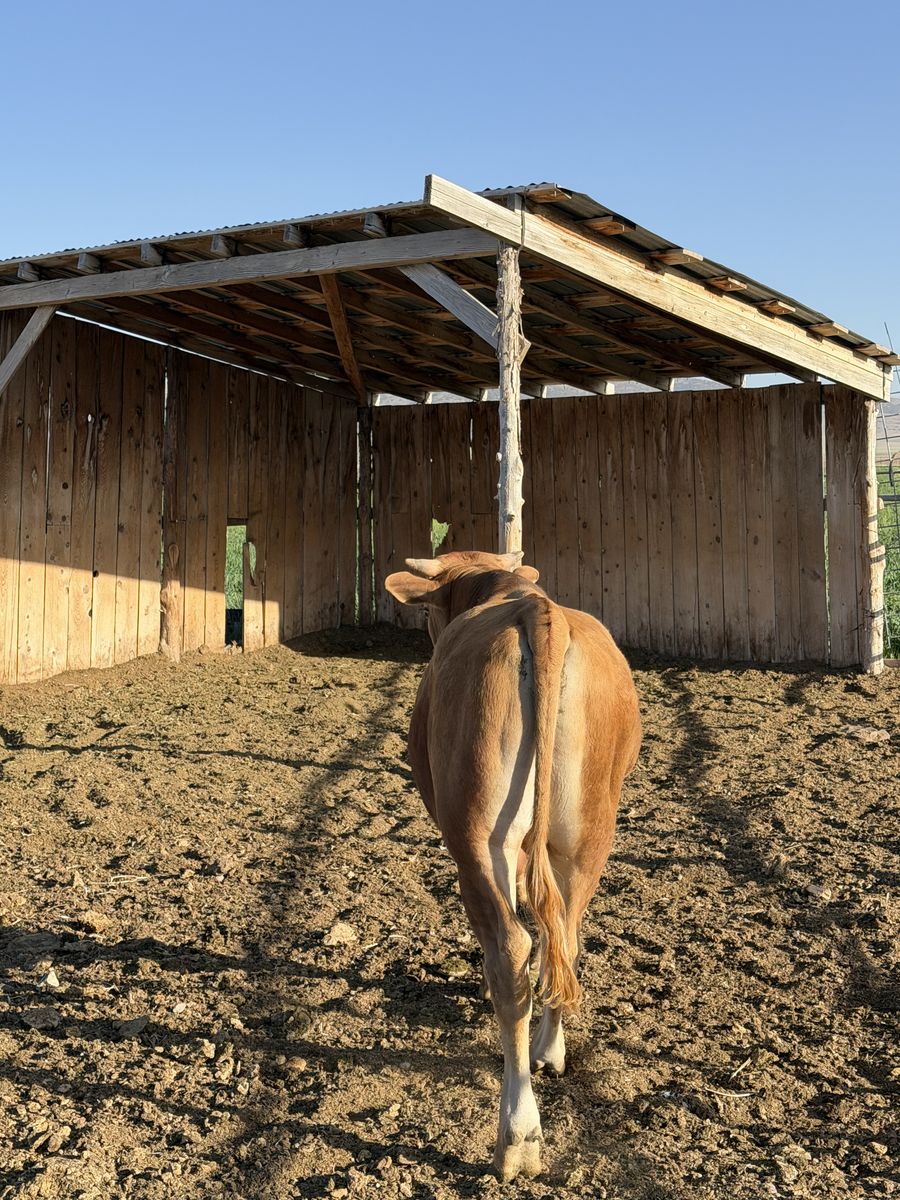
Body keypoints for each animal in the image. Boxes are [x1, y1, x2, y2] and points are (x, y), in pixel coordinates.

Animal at [385, 549, 642, 1181]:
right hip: (585, 835)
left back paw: (517, 1136)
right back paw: (551, 1049)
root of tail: (538, 612)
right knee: (563, 935)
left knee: (512, 950)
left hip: (479, 840)